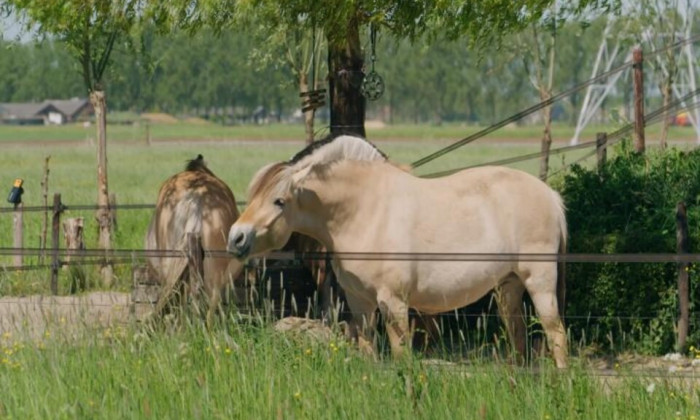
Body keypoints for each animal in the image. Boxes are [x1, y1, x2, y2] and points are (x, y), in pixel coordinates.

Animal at [226, 135, 568, 368]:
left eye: (279, 201)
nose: (236, 238)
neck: (364, 210)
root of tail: (551, 196)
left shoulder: (394, 303)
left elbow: (401, 355)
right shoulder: (361, 303)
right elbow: (369, 352)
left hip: (538, 282)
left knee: (556, 335)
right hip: (508, 286)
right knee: (519, 337)